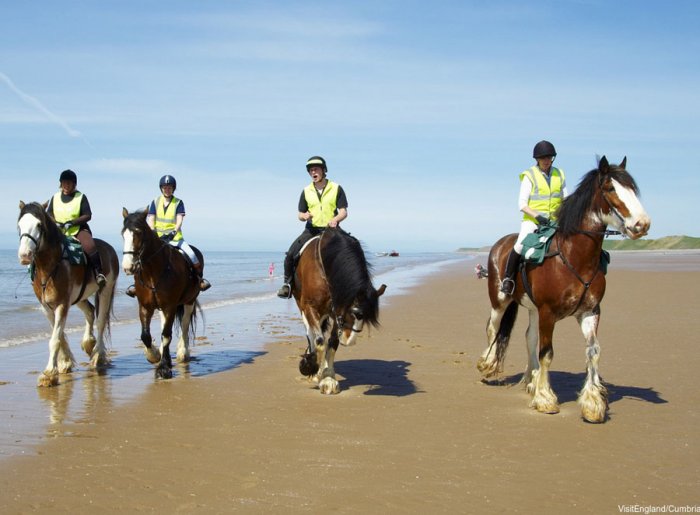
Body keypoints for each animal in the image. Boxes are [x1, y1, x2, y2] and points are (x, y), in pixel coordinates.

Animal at [17, 202, 118, 388]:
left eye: (39, 225)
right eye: (19, 225)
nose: (25, 255)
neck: (50, 267)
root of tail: (109, 248)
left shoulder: (62, 304)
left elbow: (55, 339)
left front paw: (49, 374)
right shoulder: (47, 307)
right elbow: (60, 335)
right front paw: (65, 363)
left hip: (105, 290)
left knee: (100, 321)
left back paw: (97, 356)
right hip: (79, 297)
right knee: (90, 311)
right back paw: (88, 343)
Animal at [121, 208, 204, 380]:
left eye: (138, 232)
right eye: (123, 233)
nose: (127, 267)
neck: (153, 273)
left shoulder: (170, 306)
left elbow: (166, 334)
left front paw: (164, 368)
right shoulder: (145, 306)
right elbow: (146, 335)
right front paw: (155, 356)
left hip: (190, 301)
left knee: (184, 325)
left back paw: (183, 353)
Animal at [292, 227, 386, 396]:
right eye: (355, 312)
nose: (350, 341)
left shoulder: (337, 312)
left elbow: (332, 342)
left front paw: (328, 378)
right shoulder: (310, 307)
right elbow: (319, 340)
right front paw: (310, 367)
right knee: (311, 333)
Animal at [476, 157, 652, 424]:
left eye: (633, 189)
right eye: (611, 188)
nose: (642, 224)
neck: (574, 257)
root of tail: (501, 243)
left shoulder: (590, 311)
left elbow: (593, 351)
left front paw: (592, 404)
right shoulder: (548, 313)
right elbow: (547, 353)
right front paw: (546, 399)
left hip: (532, 308)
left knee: (529, 336)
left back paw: (531, 379)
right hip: (500, 300)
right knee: (492, 327)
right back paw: (487, 364)